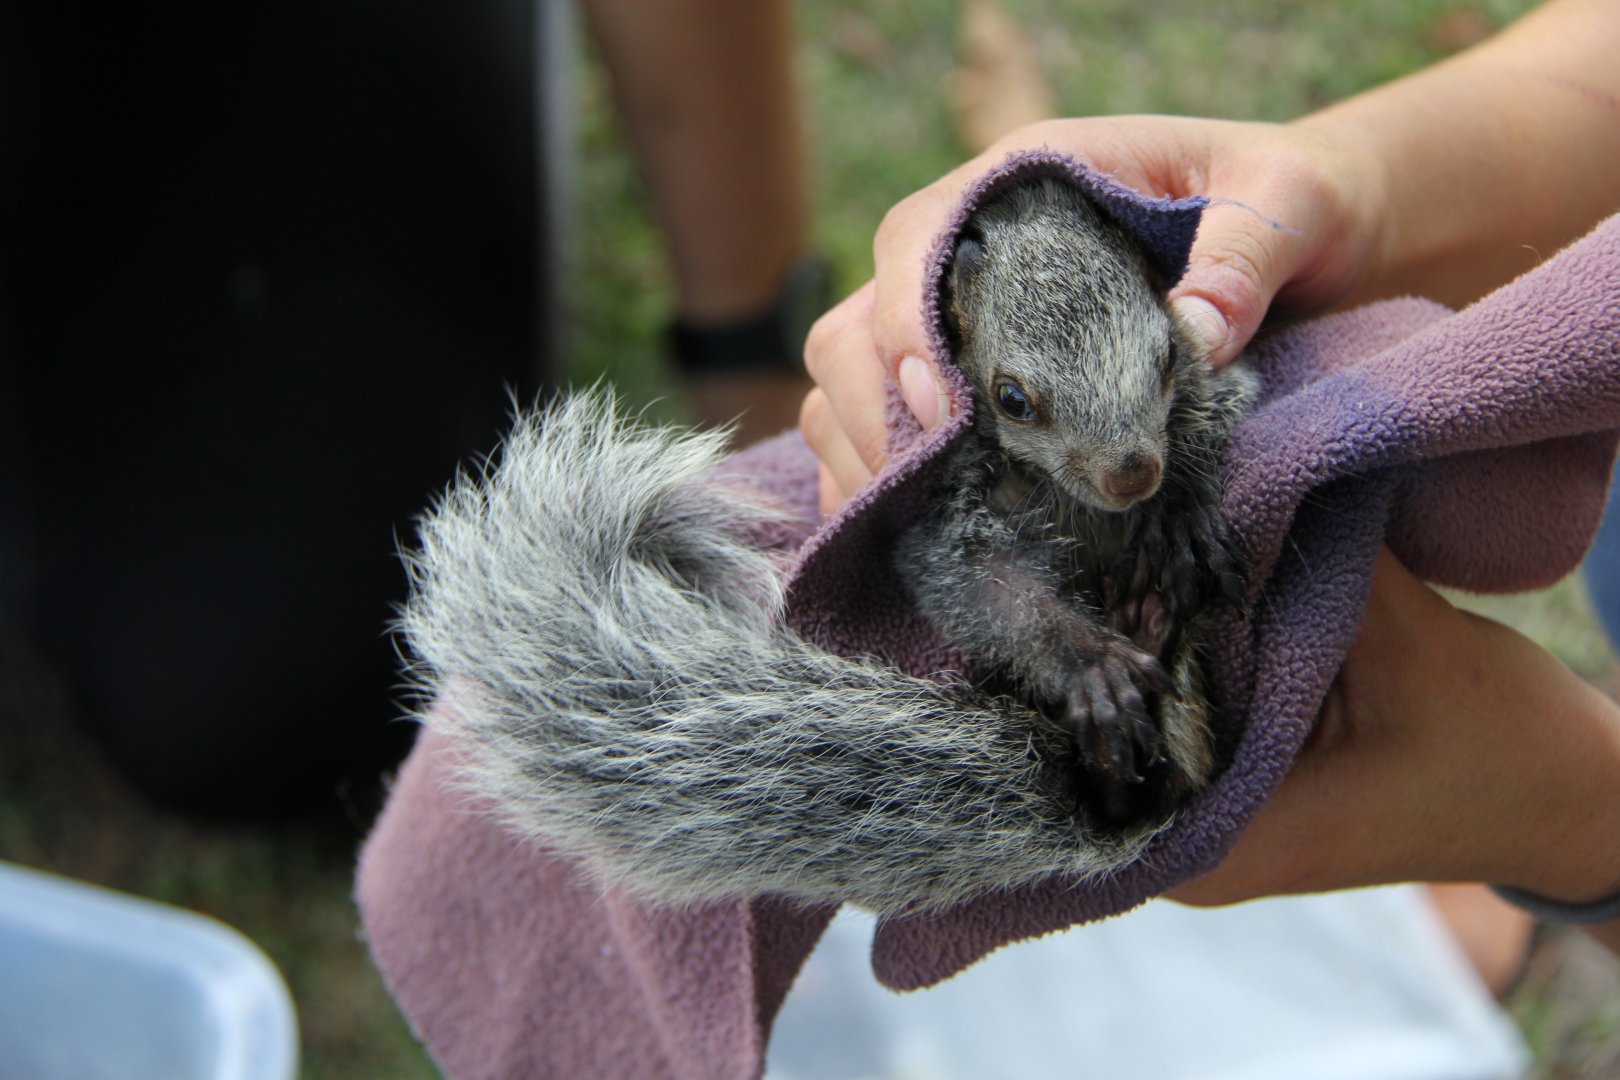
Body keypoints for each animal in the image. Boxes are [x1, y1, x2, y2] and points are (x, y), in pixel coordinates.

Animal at [400, 178, 1257, 916]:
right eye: (1012, 398)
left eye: (1168, 356)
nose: (1131, 474)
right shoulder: (947, 508)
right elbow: (977, 583)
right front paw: (1090, 665)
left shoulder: (1211, 381)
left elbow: (1217, 408)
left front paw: (1180, 509)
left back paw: (1151, 626)